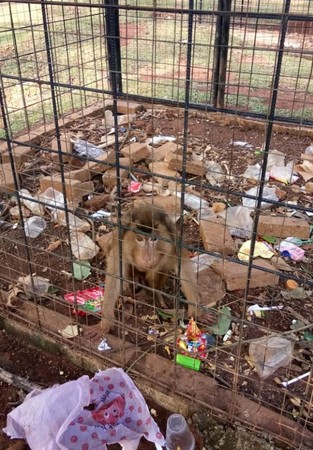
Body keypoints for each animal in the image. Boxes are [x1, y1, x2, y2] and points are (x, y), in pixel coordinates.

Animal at [101, 204, 201, 334]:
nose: (147, 256)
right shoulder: (120, 245)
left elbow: (183, 269)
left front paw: (197, 311)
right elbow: (115, 274)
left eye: (153, 239)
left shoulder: (173, 245)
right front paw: (106, 321)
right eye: (139, 239)